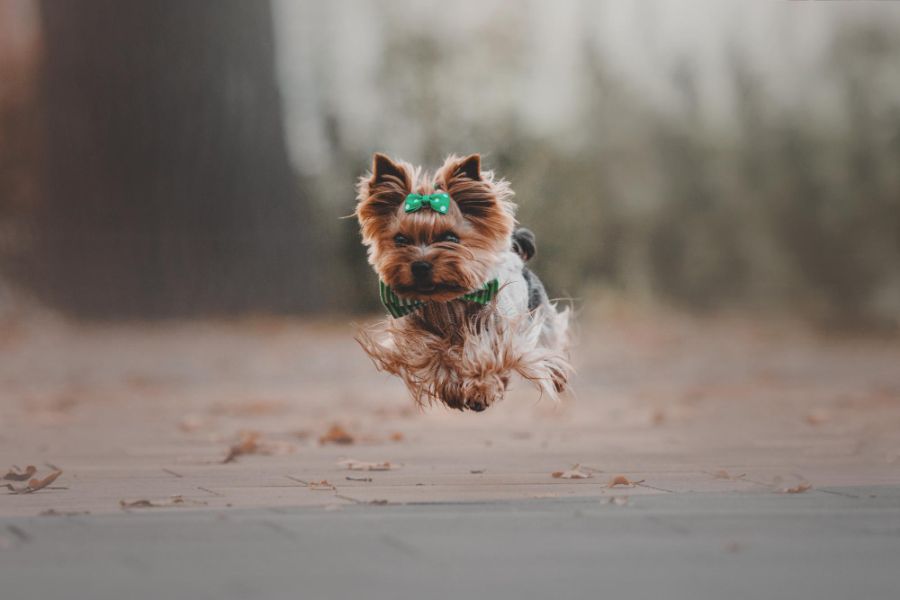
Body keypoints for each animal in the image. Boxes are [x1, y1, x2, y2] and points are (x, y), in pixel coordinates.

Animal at [354, 152, 568, 410]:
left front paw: (479, 391)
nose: (420, 266)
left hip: (538, 315)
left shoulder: (496, 330)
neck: (447, 301)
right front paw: (453, 388)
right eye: (401, 239)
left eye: (450, 237)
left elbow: (485, 357)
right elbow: (434, 352)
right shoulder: (418, 332)